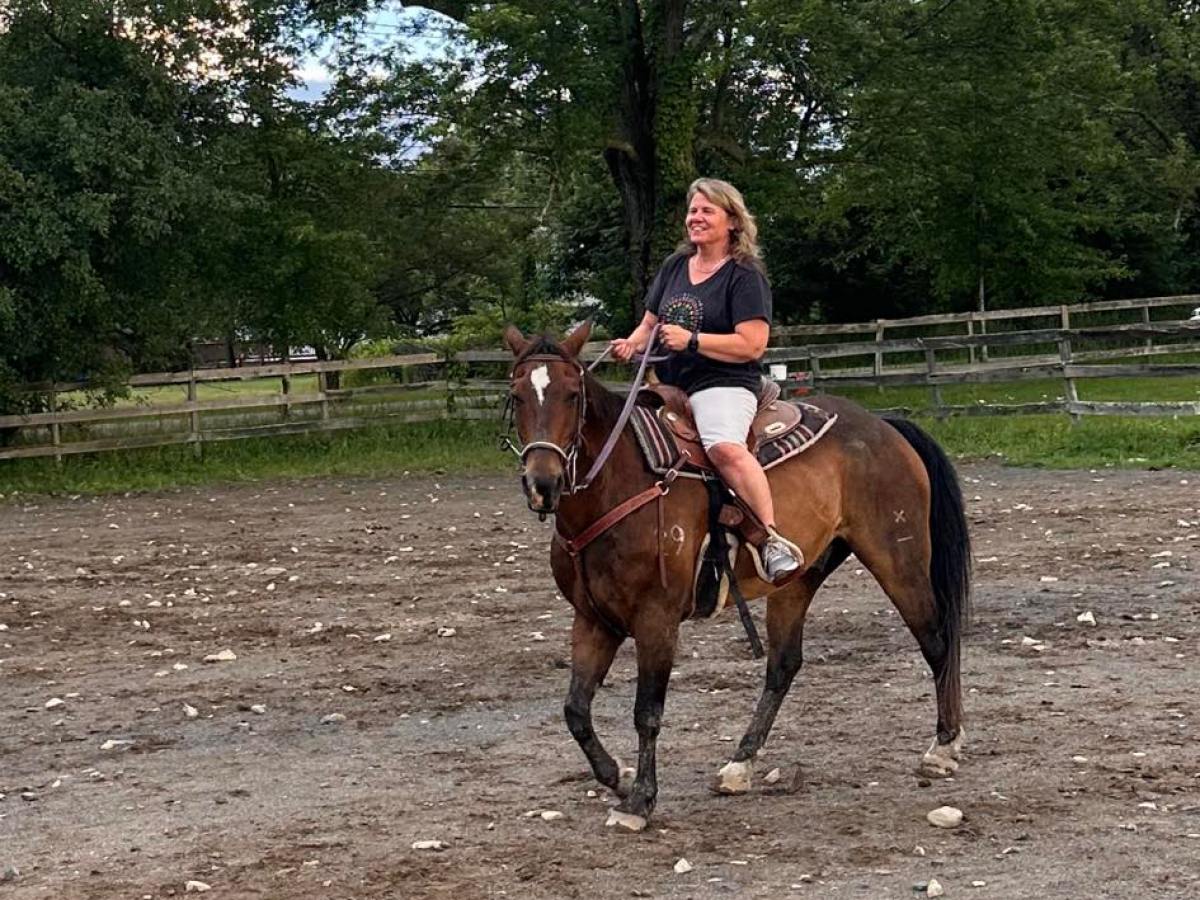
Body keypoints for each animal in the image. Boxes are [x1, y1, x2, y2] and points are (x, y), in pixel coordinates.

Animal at [502, 321, 970, 832]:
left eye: (572, 394)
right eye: (517, 395)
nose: (543, 484)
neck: (619, 486)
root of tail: (884, 425)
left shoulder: (656, 620)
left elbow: (647, 712)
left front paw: (639, 801)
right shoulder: (594, 620)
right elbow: (575, 710)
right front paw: (619, 777)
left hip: (897, 559)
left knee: (936, 639)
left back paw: (944, 746)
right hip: (800, 578)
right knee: (783, 665)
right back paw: (739, 764)